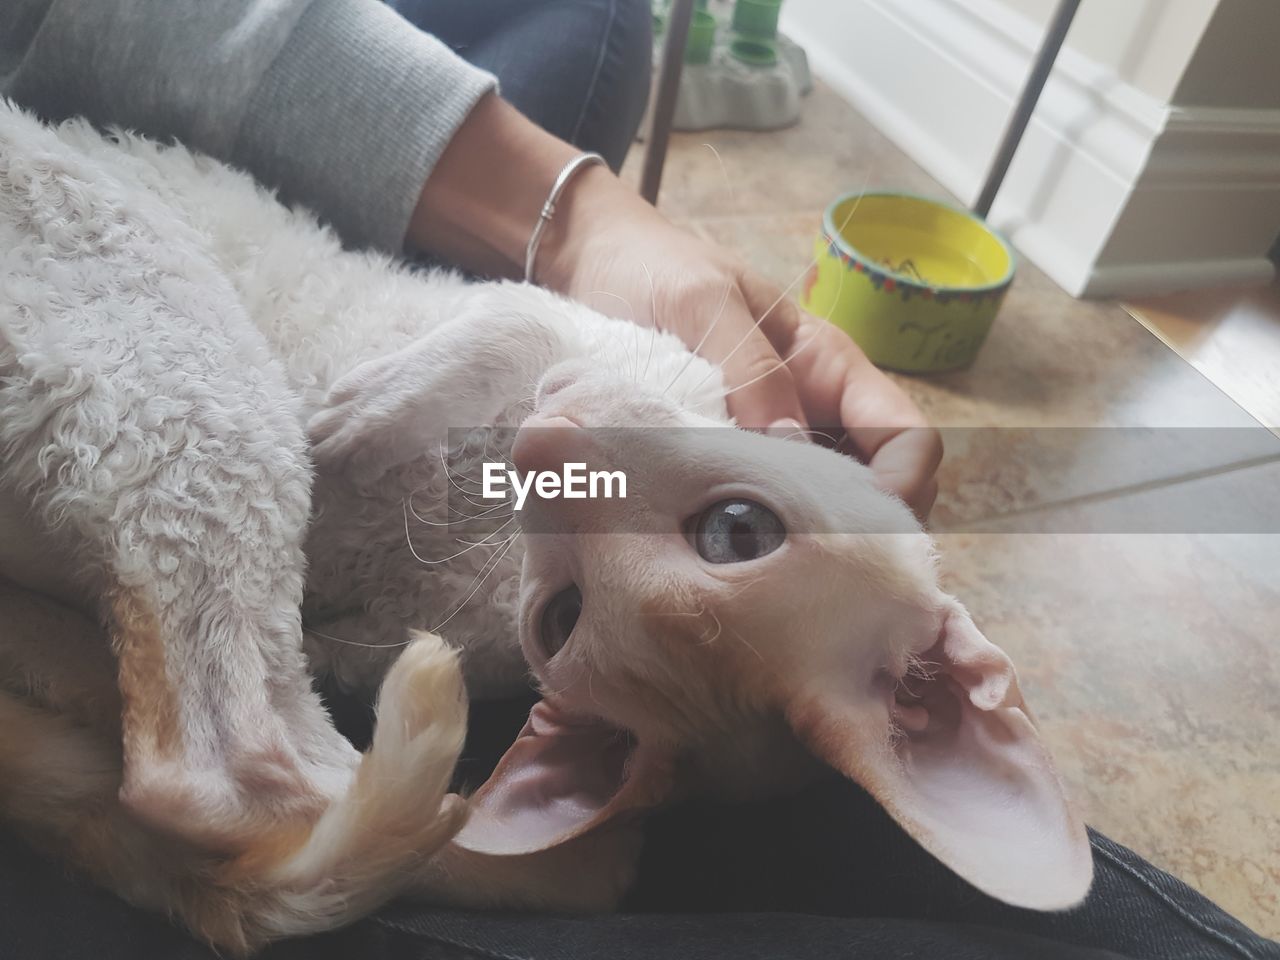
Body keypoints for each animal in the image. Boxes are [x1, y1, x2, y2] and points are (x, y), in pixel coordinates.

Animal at [0, 104, 1090, 957]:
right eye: (739, 531)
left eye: (562, 621)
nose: (543, 446)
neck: (476, 529)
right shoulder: (625, 341)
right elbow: (518, 324)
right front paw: (370, 412)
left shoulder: (389, 636)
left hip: (184, 385)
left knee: (228, 785)